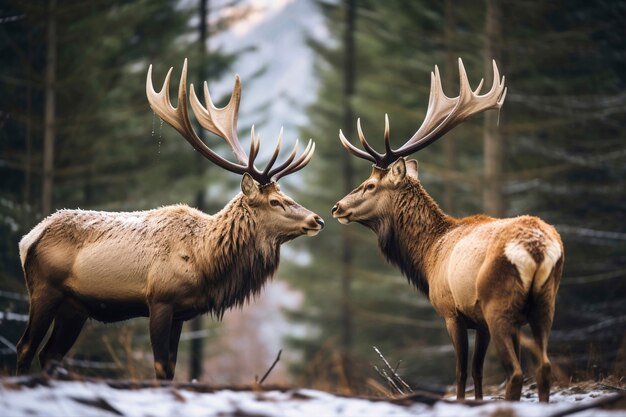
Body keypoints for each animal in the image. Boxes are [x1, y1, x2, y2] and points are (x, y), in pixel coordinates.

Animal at [17, 59, 324, 380]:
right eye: (275, 201)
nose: (317, 219)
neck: (205, 260)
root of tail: (28, 239)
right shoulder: (160, 300)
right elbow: (161, 367)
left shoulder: (181, 313)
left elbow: (172, 370)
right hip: (44, 289)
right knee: (26, 347)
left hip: (75, 307)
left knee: (50, 354)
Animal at [332, 58, 560, 400]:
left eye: (370, 184)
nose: (336, 207)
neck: (428, 256)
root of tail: (537, 249)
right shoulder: (479, 323)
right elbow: (478, 373)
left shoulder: (452, 311)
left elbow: (461, 372)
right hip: (545, 304)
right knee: (544, 367)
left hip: (499, 305)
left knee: (517, 372)